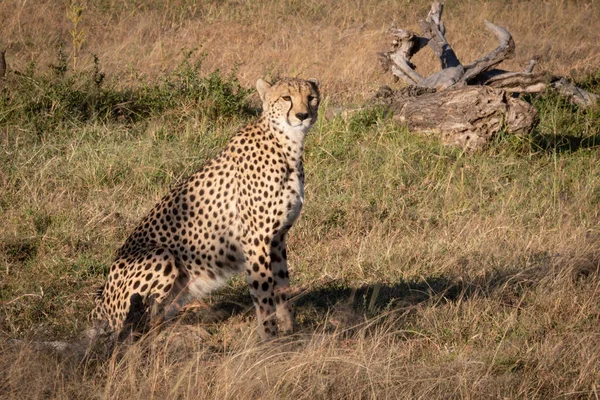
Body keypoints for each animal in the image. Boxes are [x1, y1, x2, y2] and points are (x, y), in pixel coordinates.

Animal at [90, 77, 318, 340]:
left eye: (311, 97)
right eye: (286, 97)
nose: (303, 115)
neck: (287, 145)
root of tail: (99, 304)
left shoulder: (278, 238)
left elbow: (282, 286)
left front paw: (291, 332)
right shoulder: (256, 239)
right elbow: (263, 293)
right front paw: (269, 338)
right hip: (162, 255)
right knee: (136, 323)